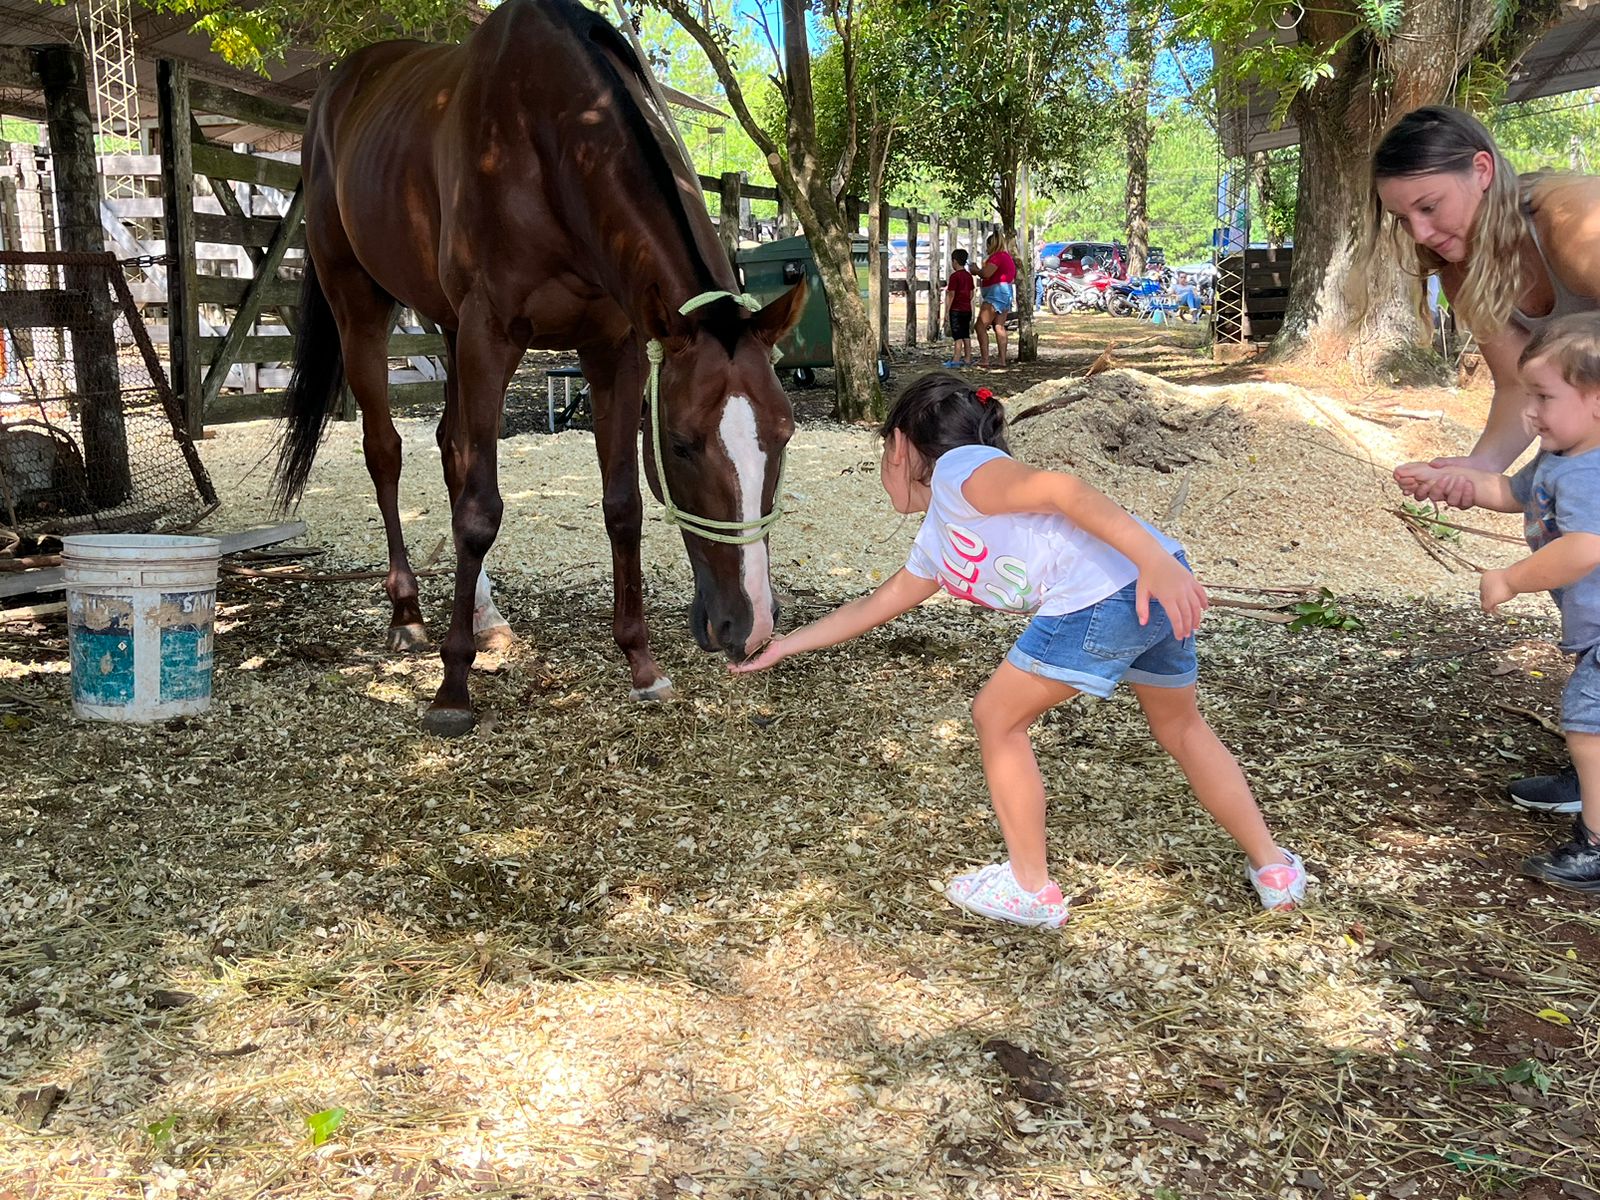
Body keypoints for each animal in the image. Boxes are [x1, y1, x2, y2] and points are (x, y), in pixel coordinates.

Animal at [272, 0, 812, 732]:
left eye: (783, 436)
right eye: (680, 444)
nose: (751, 626)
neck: (553, 136)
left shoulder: (614, 348)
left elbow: (621, 505)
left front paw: (640, 662)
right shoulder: (490, 334)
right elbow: (480, 513)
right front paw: (452, 689)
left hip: (447, 326)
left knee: (451, 448)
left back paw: (484, 614)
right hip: (360, 305)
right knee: (386, 452)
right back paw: (408, 612)